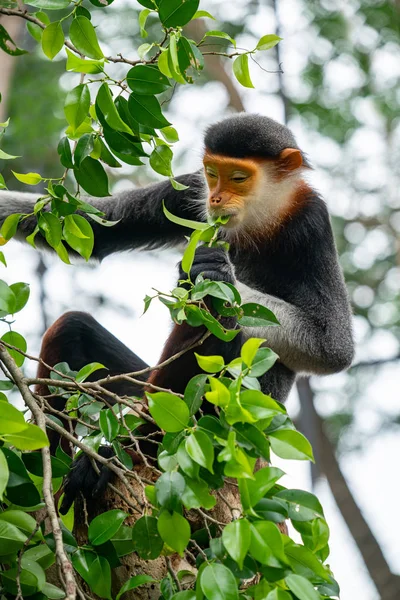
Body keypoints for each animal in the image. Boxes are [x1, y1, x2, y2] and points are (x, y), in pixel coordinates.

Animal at [0, 113, 354, 510]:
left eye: (239, 178)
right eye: (212, 173)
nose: (215, 198)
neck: (262, 215)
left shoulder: (312, 220)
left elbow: (333, 349)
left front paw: (214, 272)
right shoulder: (188, 188)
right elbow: (93, 229)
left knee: (221, 322)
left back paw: (116, 455)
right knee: (70, 327)